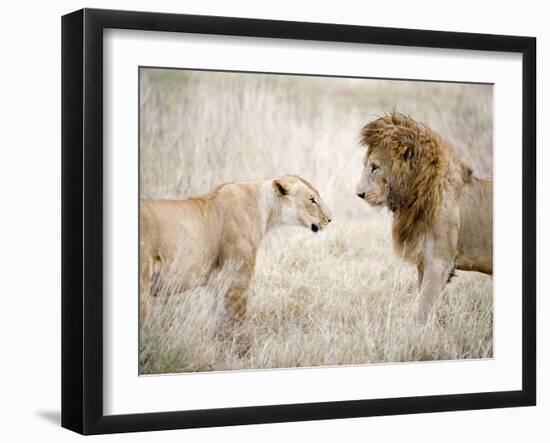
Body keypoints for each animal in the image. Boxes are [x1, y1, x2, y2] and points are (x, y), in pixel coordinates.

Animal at [140, 175, 334, 332]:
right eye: (312, 199)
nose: (330, 219)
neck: (267, 210)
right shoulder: (238, 277)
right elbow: (237, 321)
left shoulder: (216, 283)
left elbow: (215, 319)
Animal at [358, 112, 496, 324]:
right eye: (366, 165)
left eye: (375, 167)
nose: (359, 194)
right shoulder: (424, 261)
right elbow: (422, 301)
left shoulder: (439, 263)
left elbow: (421, 309)